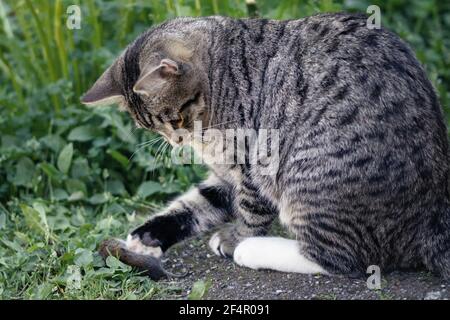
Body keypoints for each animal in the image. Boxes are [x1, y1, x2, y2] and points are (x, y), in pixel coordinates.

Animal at [81, 13, 450, 278]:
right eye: (153, 127)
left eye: (175, 118)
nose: (176, 139)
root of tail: (430, 221)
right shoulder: (224, 174)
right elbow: (198, 203)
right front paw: (146, 236)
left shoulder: (251, 162)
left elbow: (250, 208)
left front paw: (237, 238)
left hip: (308, 177)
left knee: (341, 258)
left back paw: (252, 250)